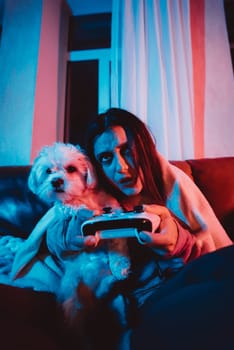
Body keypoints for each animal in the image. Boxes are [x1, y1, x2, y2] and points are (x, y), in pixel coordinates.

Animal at [28, 142, 131, 328]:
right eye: (48, 171)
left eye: (71, 168)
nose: (56, 181)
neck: (84, 197)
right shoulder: (65, 210)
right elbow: (70, 208)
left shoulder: (114, 212)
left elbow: (117, 246)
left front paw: (121, 267)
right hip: (71, 289)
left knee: (106, 292)